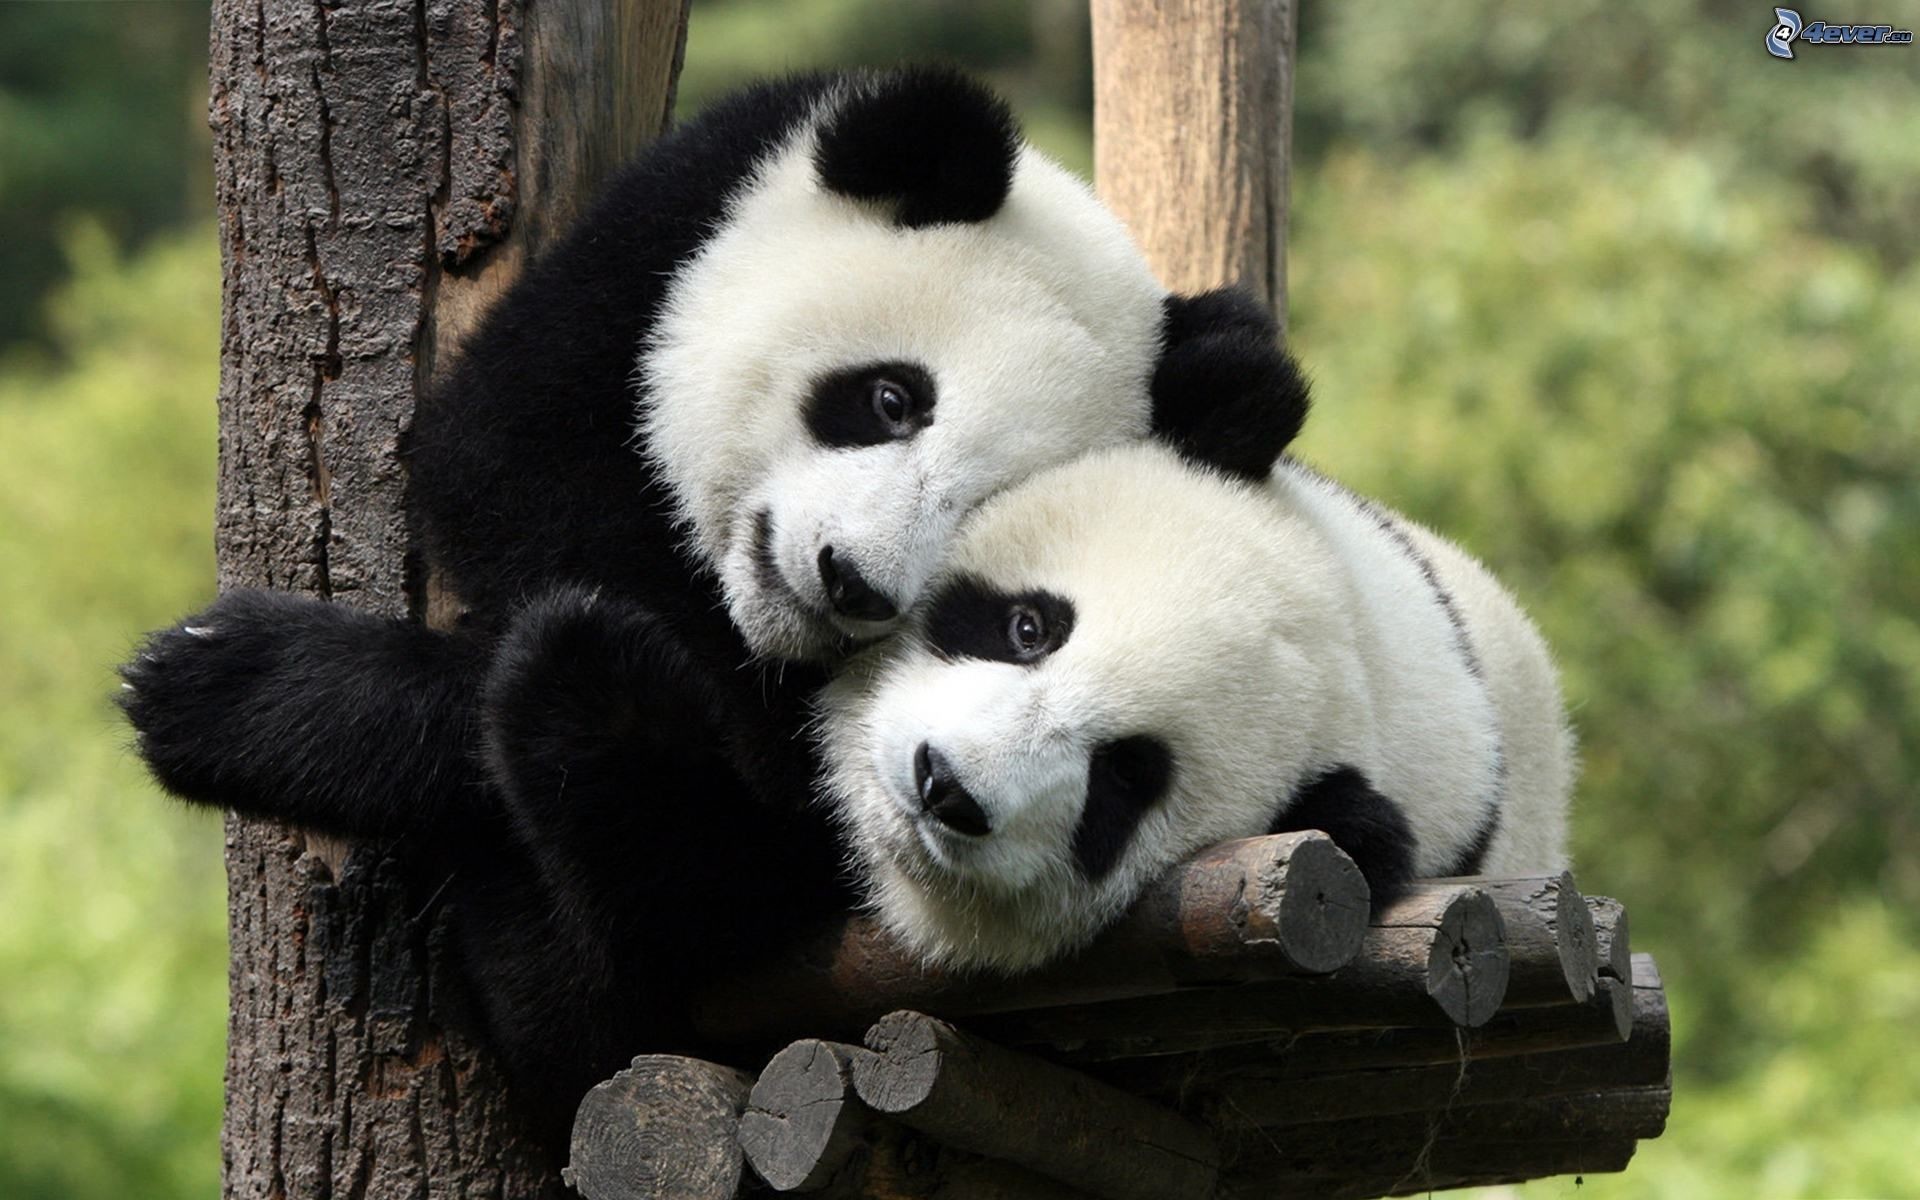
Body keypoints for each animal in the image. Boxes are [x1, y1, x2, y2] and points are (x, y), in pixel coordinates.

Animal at [118, 67, 1309, 1145]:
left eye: (982, 509)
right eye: (890, 399)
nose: (851, 581)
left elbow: (756, 814)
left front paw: (230, 690)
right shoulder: (655, 250)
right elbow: (500, 466)